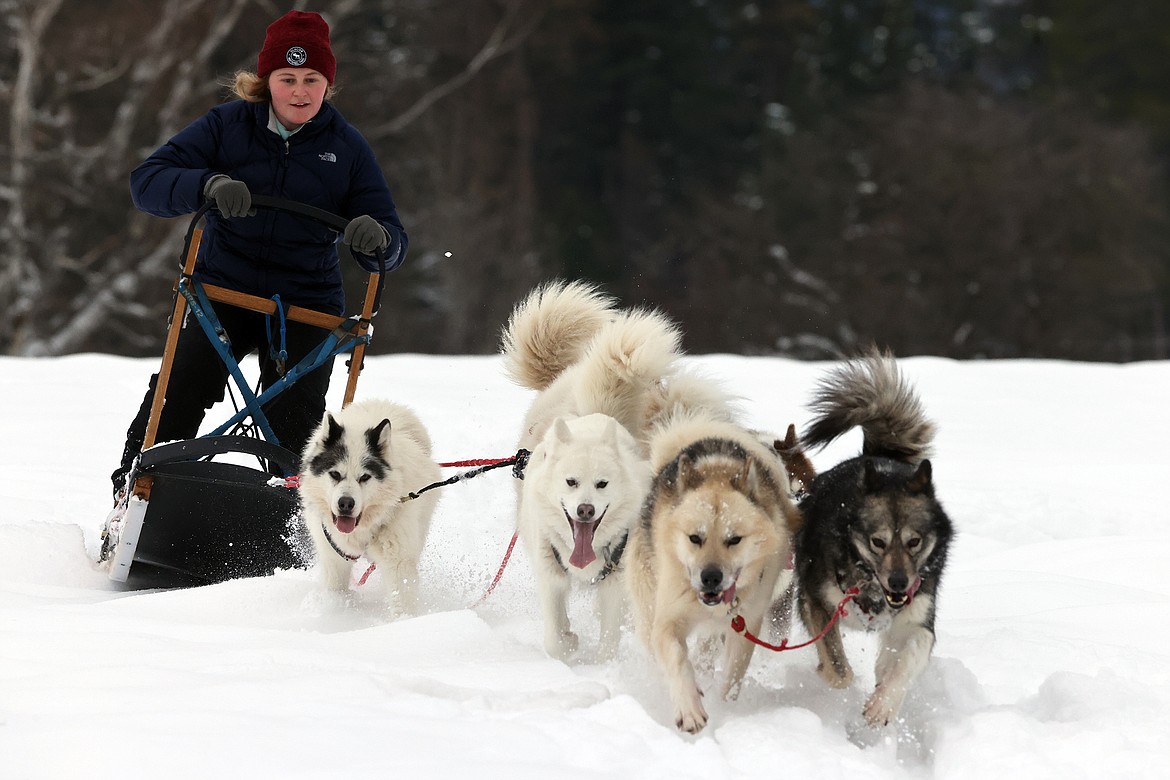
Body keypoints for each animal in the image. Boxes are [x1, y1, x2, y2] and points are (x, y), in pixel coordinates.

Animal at [786, 350, 950, 729]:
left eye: (914, 542)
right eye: (878, 542)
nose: (899, 583)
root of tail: (875, 457)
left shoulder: (919, 617)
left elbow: (908, 658)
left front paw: (883, 703)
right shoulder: (818, 604)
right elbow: (837, 667)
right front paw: (835, 676)